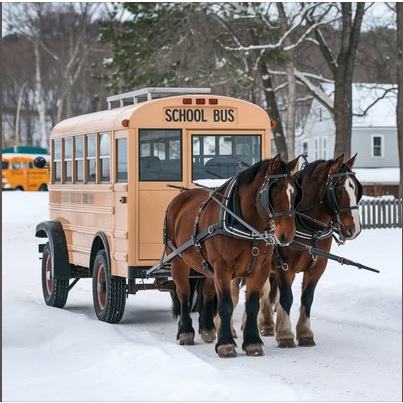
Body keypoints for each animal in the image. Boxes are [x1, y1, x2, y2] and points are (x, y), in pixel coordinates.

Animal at [165, 155, 300, 360]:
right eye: (274, 191)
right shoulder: (223, 268)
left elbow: (252, 304)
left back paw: (206, 329)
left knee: (206, 292)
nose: (287, 235)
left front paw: (252, 342)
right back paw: (186, 331)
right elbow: (226, 304)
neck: (244, 224)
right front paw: (226, 344)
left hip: (205, 266)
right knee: (183, 294)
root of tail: (181, 197)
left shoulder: (260, 269)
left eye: (294, 192)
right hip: (178, 261)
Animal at [238, 154, 364, 348]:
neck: (309, 227)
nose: (354, 229)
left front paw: (304, 333)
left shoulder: (317, 266)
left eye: (356, 188)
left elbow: (307, 298)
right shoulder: (284, 266)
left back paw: (265, 324)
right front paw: (285, 334)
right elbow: (286, 297)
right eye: (339, 189)